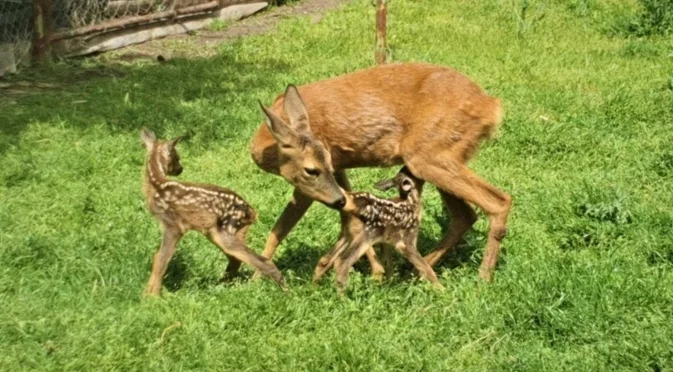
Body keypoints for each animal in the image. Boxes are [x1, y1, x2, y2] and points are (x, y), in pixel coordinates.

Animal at [140, 129, 284, 294]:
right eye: (177, 157)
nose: (180, 169)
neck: (156, 185)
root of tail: (252, 213)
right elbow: (159, 258)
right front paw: (148, 293)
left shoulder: (173, 225)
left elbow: (161, 259)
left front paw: (152, 295)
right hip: (222, 231)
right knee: (236, 259)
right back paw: (222, 285)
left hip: (227, 229)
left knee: (258, 260)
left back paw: (283, 289)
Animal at [310, 166, 440, 290]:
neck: (411, 202)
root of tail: (352, 201)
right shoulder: (407, 239)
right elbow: (425, 266)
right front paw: (440, 289)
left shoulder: (387, 240)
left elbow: (388, 263)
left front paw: (389, 285)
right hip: (368, 233)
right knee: (342, 263)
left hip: (348, 233)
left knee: (325, 260)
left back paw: (314, 288)